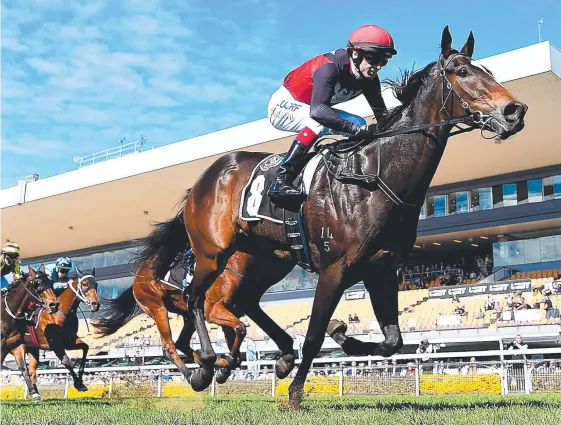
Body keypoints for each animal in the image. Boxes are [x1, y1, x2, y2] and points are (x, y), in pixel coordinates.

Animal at [0, 266, 58, 400]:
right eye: (37, 284)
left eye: (51, 282)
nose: (54, 305)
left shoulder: (15, 345)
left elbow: (24, 368)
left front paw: (34, 393)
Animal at [133, 27, 528, 408]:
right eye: (462, 72)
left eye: (487, 70)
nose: (515, 110)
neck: (375, 175)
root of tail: (204, 178)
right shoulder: (334, 268)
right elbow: (313, 335)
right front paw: (294, 394)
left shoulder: (382, 268)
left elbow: (392, 341)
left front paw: (342, 335)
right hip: (212, 252)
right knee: (194, 298)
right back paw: (206, 365)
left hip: (265, 260)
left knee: (242, 303)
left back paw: (269, 357)